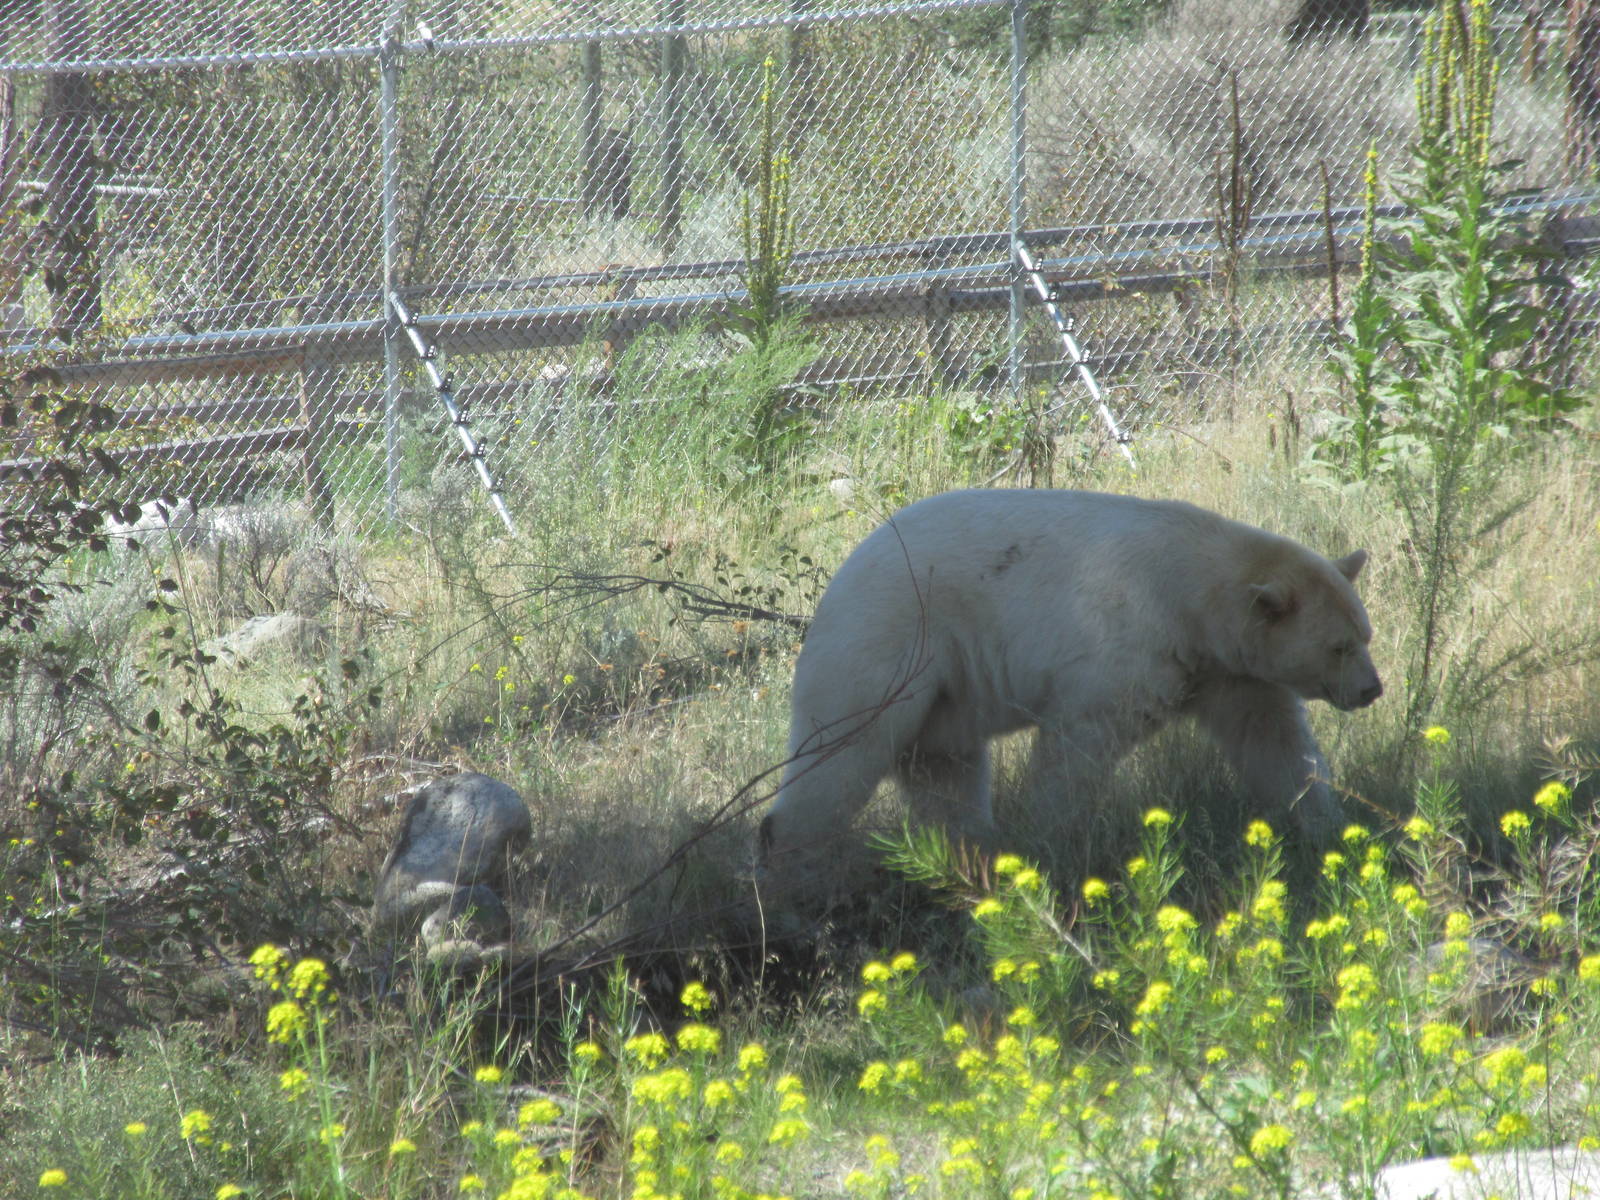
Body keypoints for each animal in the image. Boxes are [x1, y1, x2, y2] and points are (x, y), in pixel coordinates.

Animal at [757, 487, 1382, 898]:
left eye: (1363, 634)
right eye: (1339, 647)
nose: (1372, 690)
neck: (1192, 593)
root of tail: (839, 576)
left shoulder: (1230, 672)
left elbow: (1275, 743)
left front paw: (1329, 831)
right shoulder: (1126, 647)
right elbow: (1079, 747)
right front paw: (1053, 841)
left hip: (944, 695)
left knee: (945, 774)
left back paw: (973, 860)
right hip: (889, 640)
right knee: (843, 751)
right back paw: (789, 864)